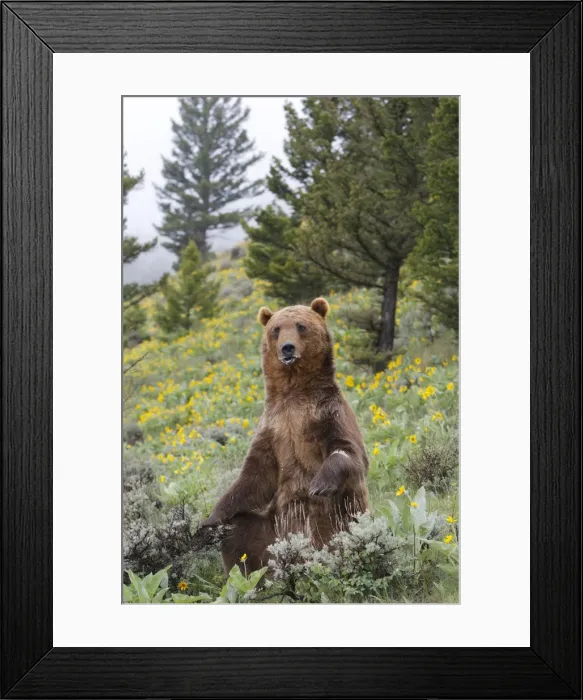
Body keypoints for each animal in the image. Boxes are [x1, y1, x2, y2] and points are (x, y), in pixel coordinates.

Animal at [200, 297, 369, 573]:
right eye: (276, 329)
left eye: (301, 325)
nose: (287, 348)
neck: (293, 394)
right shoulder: (274, 427)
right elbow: (254, 476)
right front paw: (209, 521)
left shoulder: (327, 415)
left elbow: (348, 451)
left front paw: (319, 484)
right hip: (271, 530)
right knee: (238, 533)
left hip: (335, 520)